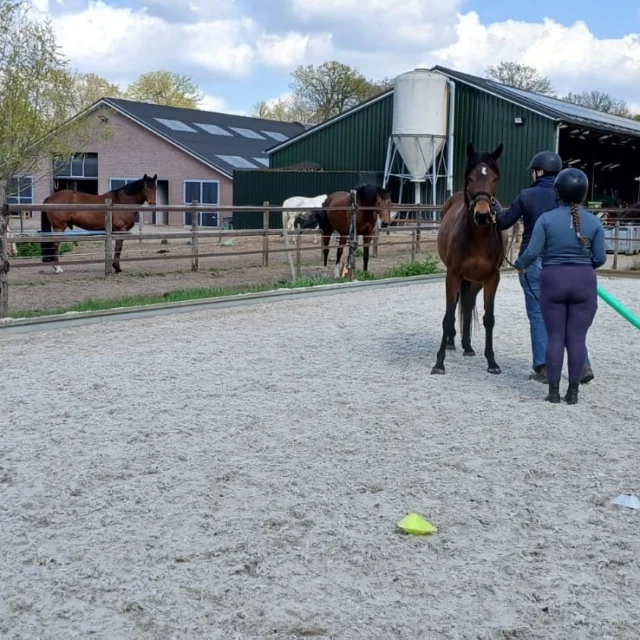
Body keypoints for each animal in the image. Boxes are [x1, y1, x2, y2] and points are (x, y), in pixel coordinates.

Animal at [431, 142, 506, 376]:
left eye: (495, 178)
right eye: (470, 178)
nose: (482, 216)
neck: (478, 239)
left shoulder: (491, 279)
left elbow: (489, 319)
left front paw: (492, 361)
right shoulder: (453, 275)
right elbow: (447, 317)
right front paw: (439, 362)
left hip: (475, 281)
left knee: (468, 302)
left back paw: (468, 346)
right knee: (457, 305)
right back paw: (452, 343)